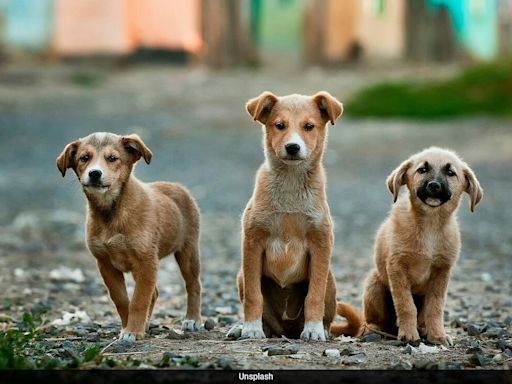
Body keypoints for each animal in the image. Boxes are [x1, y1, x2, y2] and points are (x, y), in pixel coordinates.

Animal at [56, 133, 200, 342]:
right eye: (84, 158)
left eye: (112, 158)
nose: (94, 173)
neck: (111, 211)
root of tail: (177, 186)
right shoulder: (106, 264)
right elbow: (122, 300)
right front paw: (129, 327)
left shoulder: (146, 261)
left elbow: (139, 300)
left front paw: (132, 331)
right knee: (154, 293)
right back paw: (146, 324)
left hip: (188, 251)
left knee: (193, 284)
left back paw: (193, 320)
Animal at [235, 91, 360, 340]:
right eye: (279, 125)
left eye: (309, 126)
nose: (293, 147)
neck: (290, 185)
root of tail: (287, 330)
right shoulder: (252, 241)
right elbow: (254, 296)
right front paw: (251, 328)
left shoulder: (320, 243)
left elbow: (314, 295)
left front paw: (313, 330)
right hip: (241, 276)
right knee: (266, 320)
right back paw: (243, 328)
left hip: (330, 280)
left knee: (326, 315)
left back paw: (320, 329)